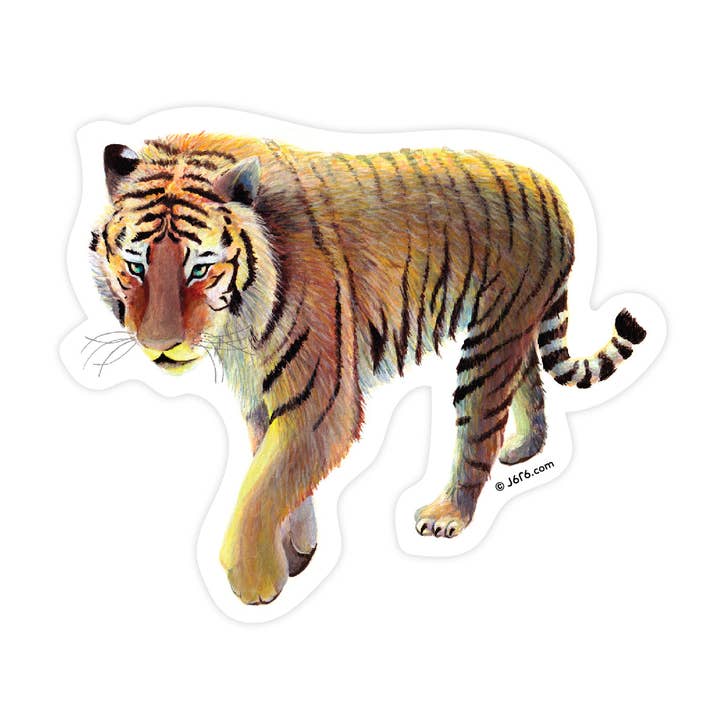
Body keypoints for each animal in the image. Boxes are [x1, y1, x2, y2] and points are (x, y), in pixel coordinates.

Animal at [90, 133, 647, 605]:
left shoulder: (322, 400)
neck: (238, 320)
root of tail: (551, 188)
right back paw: (524, 450)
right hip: (513, 326)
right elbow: (278, 475)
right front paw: (298, 550)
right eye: (136, 266)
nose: (162, 345)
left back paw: (449, 515)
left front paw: (256, 582)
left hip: (490, 343)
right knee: (530, 381)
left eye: (200, 269)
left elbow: (261, 489)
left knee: (480, 429)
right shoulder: (264, 398)